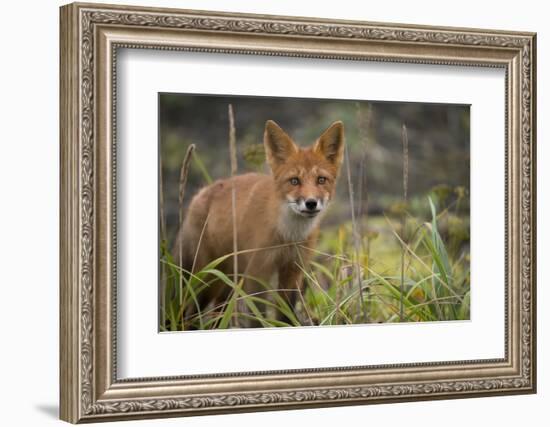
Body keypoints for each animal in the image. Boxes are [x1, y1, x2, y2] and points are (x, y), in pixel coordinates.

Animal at [175, 118, 344, 326]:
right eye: (294, 181)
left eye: (321, 180)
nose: (311, 203)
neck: (287, 235)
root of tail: (199, 195)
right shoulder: (257, 272)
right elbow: (257, 317)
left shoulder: (293, 271)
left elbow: (285, 316)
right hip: (208, 278)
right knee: (190, 314)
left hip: (227, 282)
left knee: (216, 314)